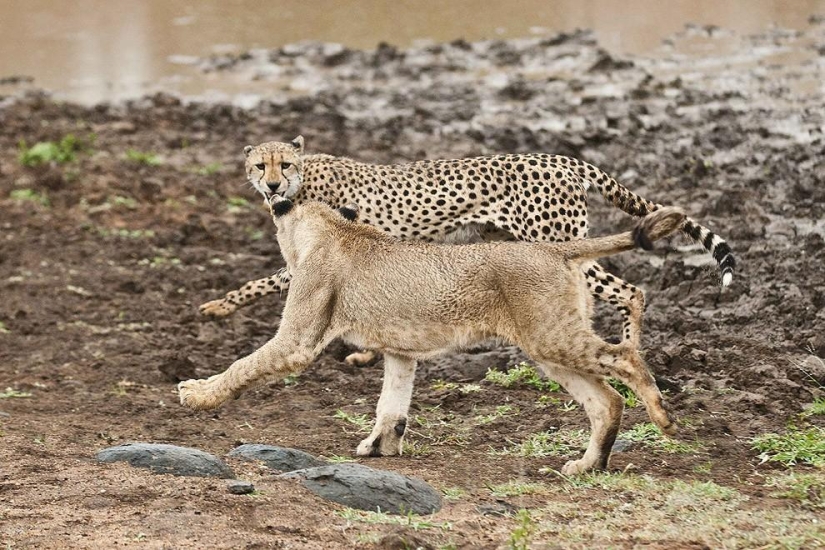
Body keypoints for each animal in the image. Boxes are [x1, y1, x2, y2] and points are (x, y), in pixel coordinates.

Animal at [182, 198, 688, 474]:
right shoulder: (400, 352)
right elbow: (392, 405)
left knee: (626, 361)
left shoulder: (298, 341)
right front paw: (381, 447)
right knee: (606, 400)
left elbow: (242, 365)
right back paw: (588, 465)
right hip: (547, 347)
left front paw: (198, 394)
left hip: (551, 337)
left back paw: (663, 419)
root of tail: (553, 248)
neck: (328, 227)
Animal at [198, 136, 732, 356]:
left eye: (284, 164)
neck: (304, 181)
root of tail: (562, 158)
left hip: (555, 240)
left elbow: (265, 279)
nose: (271, 185)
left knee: (630, 291)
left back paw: (629, 351)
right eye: (260, 166)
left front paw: (218, 306)